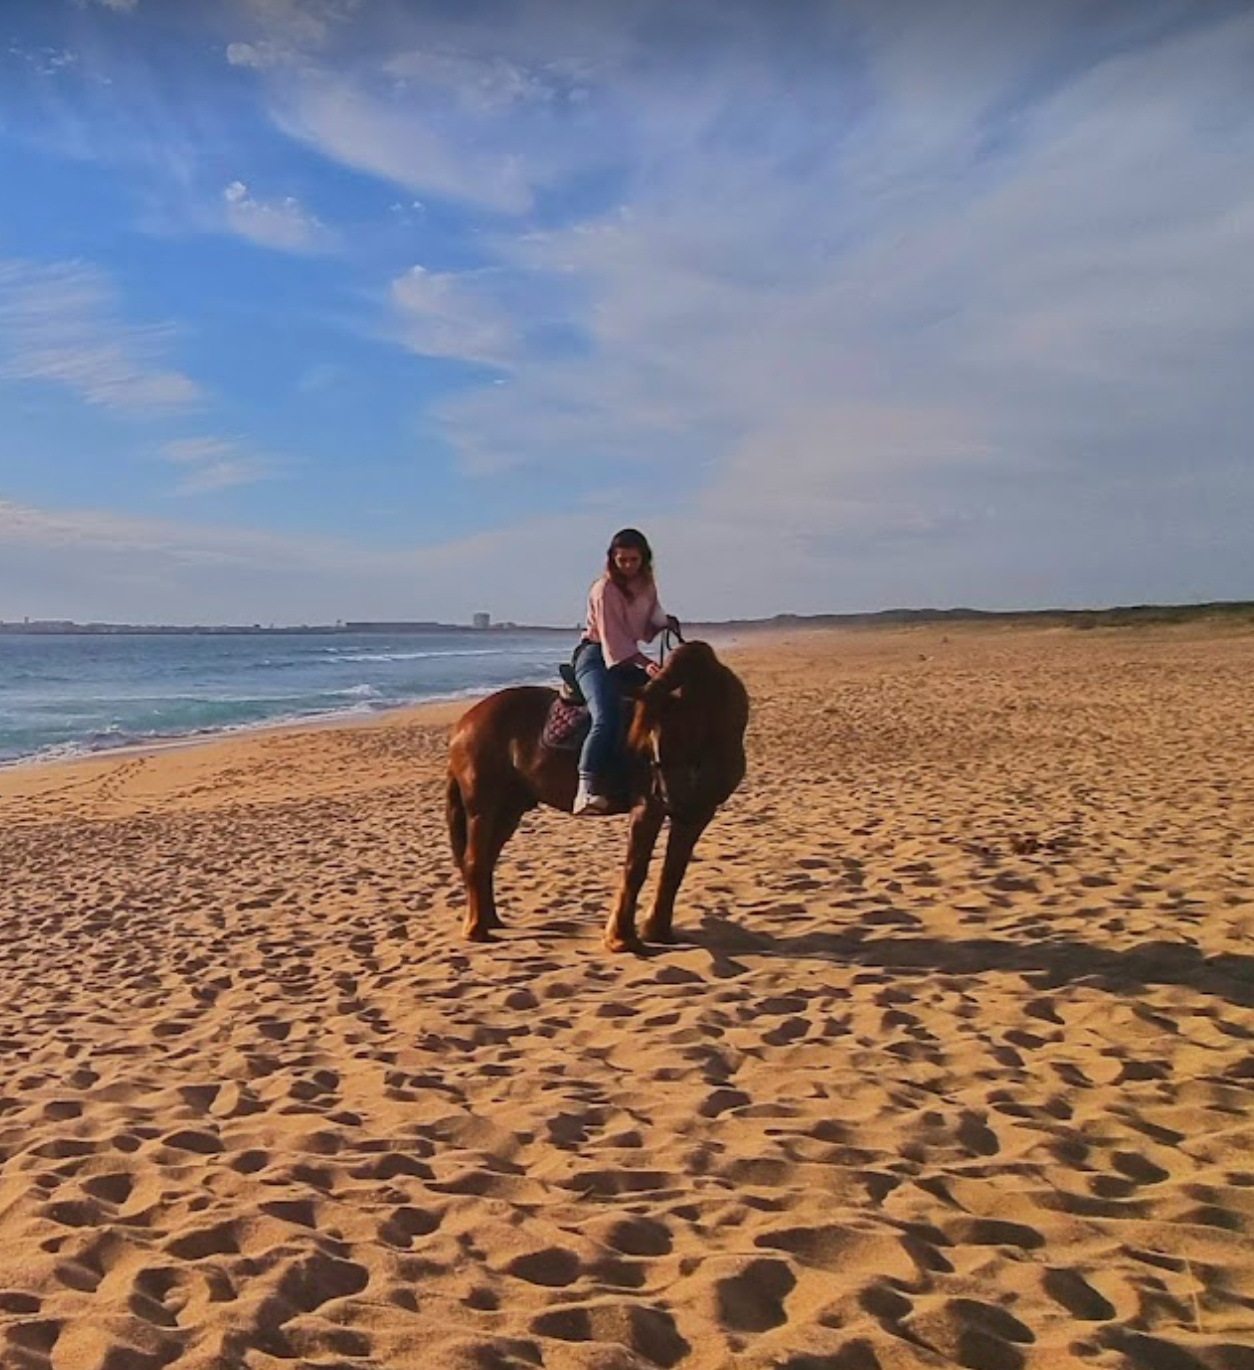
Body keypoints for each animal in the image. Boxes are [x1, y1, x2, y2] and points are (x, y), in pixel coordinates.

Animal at [445, 640, 749, 952]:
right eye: (650, 732)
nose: (670, 797)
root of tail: (464, 724)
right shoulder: (648, 808)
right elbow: (635, 870)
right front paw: (621, 938)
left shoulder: (698, 814)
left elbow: (673, 871)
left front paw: (658, 932)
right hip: (483, 808)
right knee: (475, 860)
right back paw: (477, 930)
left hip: (509, 810)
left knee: (487, 859)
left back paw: (490, 920)